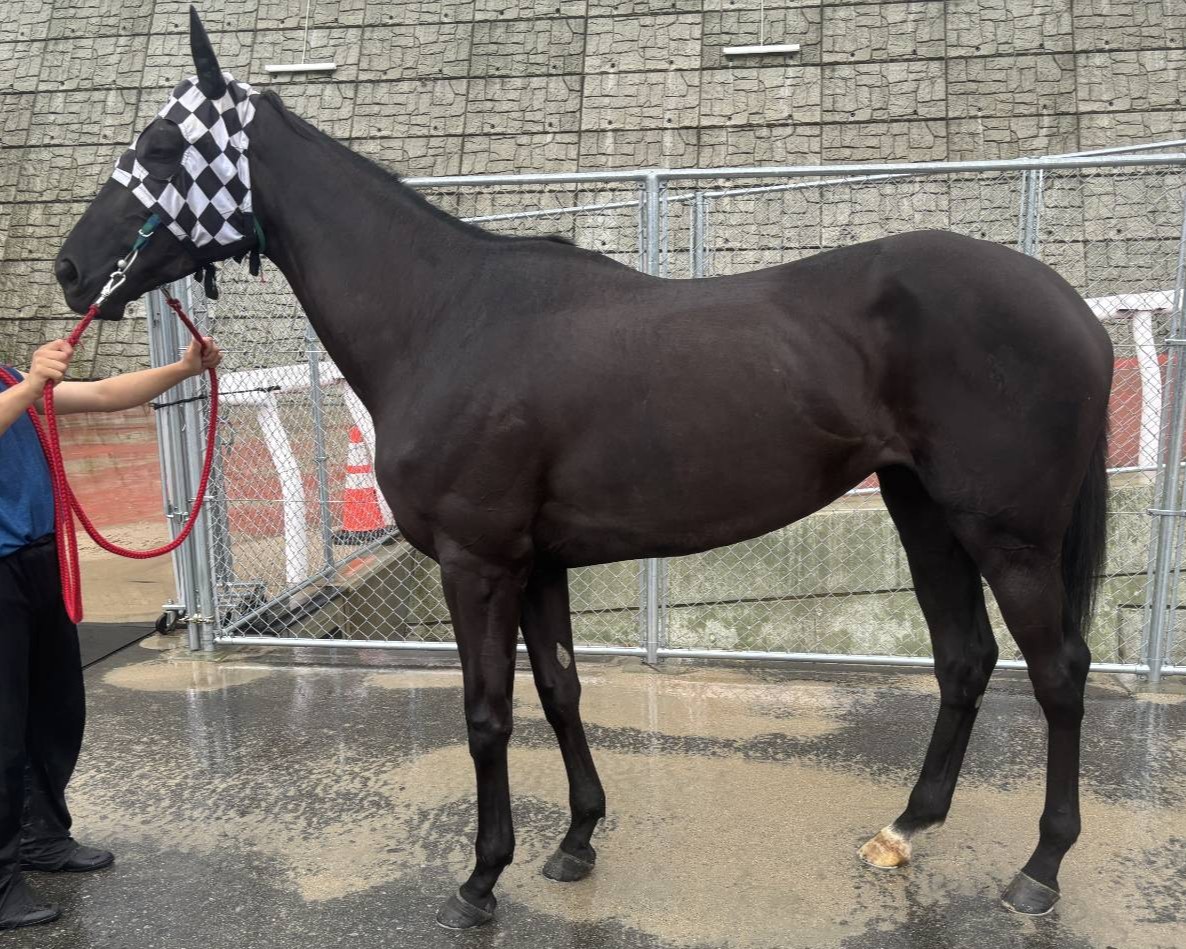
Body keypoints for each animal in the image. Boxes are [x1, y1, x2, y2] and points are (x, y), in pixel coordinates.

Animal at [54, 8, 1112, 929]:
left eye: (163, 145)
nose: (70, 270)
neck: (445, 317)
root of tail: (1074, 309)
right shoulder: (540, 563)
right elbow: (560, 689)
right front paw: (576, 841)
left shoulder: (476, 563)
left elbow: (487, 712)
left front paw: (482, 878)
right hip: (924, 510)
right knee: (965, 658)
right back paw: (906, 827)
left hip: (1008, 534)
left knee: (1059, 670)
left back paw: (1041, 867)